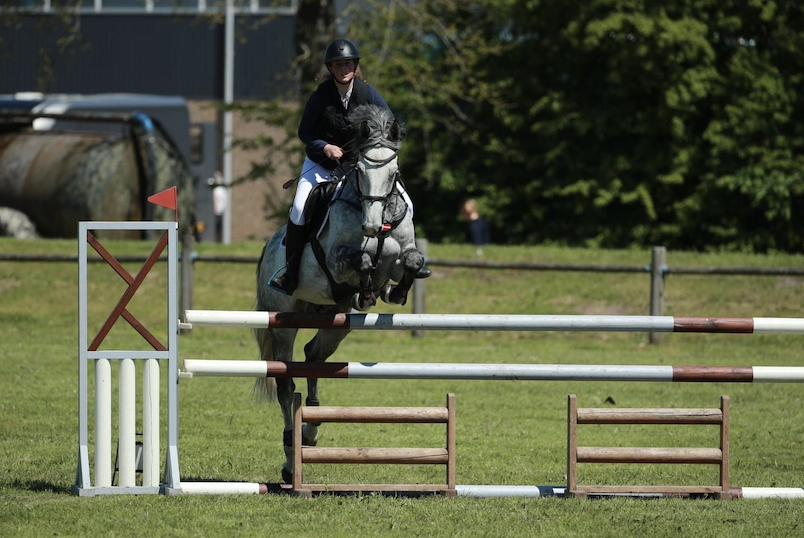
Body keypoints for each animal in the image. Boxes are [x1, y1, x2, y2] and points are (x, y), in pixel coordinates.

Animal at [253, 102, 428, 480]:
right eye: (359, 171)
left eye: (393, 172)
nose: (372, 227)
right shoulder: (337, 262)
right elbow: (361, 261)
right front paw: (367, 291)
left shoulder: (398, 259)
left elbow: (411, 260)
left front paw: (395, 294)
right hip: (284, 321)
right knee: (286, 384)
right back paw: (290, 458)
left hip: (335, 320)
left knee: (313, 358)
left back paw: (311, 430)